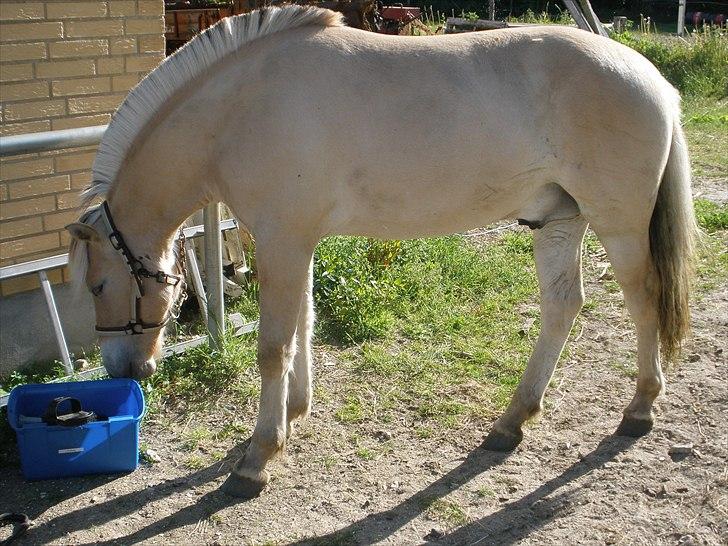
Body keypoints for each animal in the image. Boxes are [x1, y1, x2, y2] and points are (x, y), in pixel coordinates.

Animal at [67, 4, 692, 498]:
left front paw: (259, 456)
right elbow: (303, 326)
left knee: (644, 303)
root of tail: (654, 80)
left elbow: (273, 346)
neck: (238, 110)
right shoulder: (296, 242)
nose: (123, 369)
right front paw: (294, 413)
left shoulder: (282, 239)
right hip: (557, 220)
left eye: (98, 285)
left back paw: (640, 408)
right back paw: (511, 423)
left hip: (619, 225)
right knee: (564, 306)